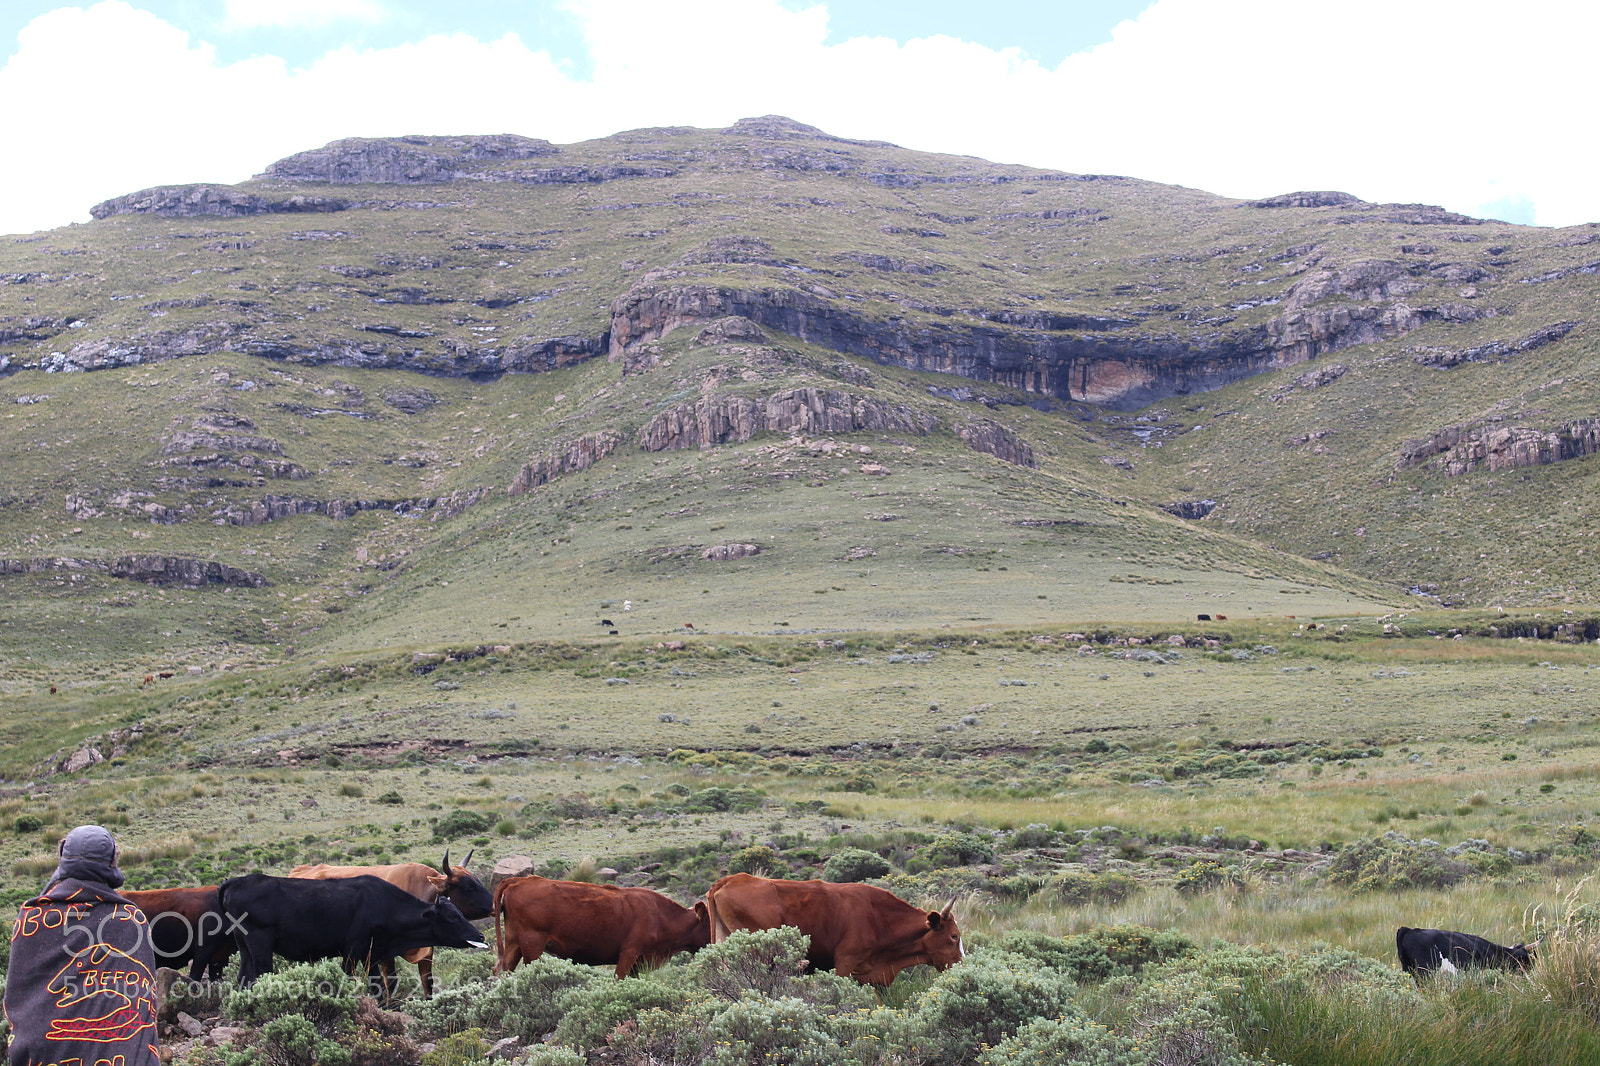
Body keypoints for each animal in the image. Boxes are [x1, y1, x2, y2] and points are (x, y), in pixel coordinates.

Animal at [217, 873, 487, 999]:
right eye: (452, 917)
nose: (480, 935)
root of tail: (235, 881)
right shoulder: (351, 951)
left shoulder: (373, 955)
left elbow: (378, 987)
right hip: (260, 945)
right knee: (259, 976)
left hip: (244, 947)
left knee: (243, 978)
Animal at [288, 849, 492, 996]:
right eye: (468, 886)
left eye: (477, 880)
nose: (493, 904)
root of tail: (301, 869)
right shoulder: (383, 952)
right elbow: (389, 982)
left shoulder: (427, 950)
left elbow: (427, 982)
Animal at [492, 876, 710, 978]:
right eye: (709, 923)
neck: (661, 915)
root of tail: (520, 880)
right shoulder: (629, 953)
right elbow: (618, 978)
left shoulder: (639, 963)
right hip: (532, 945)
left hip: (514, 943)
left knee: (502, 969)